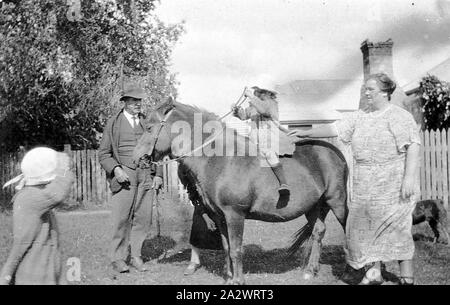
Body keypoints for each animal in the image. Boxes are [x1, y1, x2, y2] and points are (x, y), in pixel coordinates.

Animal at [134, 98, 348, 284]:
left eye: (150, 127)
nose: (137, 158)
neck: (222, 159)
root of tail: (333, 151)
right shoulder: (219, 217)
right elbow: (227, 247)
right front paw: (229, 277)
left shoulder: (234, 214)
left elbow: (237, 249)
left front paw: (238, 280)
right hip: (315, 207)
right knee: (318, 232)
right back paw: (310, 271)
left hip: (337, 201)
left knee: (346, 228)